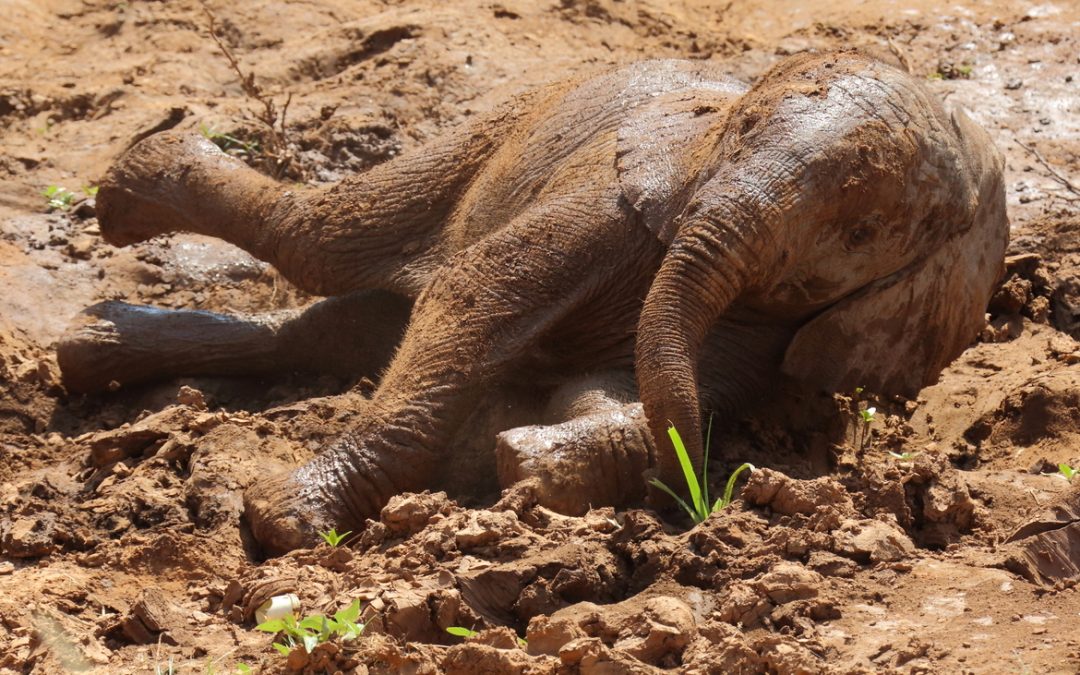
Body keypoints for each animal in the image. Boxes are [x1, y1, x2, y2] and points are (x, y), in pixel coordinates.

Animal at [58, 50, 1008, 554]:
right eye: (737, 131)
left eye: (861, 230)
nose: (703, 514)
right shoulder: (611, 197)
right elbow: (478, 294)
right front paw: (290, 524)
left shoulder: (776, 331)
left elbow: (615, 394)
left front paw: (528, 462)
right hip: (500, 126)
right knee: (324, 239)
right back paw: (133, 185)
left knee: (332, 328)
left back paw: (89, 349)